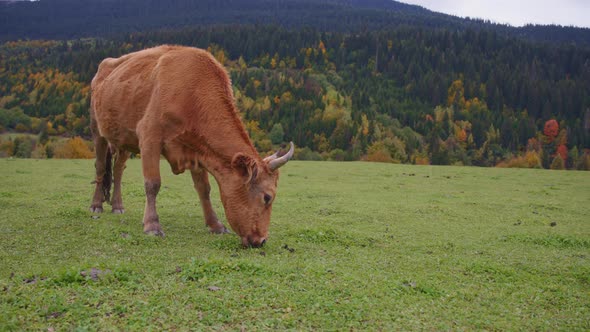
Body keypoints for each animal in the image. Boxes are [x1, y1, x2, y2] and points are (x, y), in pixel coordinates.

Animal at [88, 44, 296, 246]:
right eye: (267, 197)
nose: (261, 240)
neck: (191, 92)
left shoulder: (198, 150)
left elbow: (204, 189)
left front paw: (215, 225)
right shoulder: (149, 136)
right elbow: (153, 183)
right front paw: (152, 225)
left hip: (124, 139)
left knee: (118, 170)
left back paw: (117, 206)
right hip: (97, 129)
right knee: (100, 167)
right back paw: (96, 205)